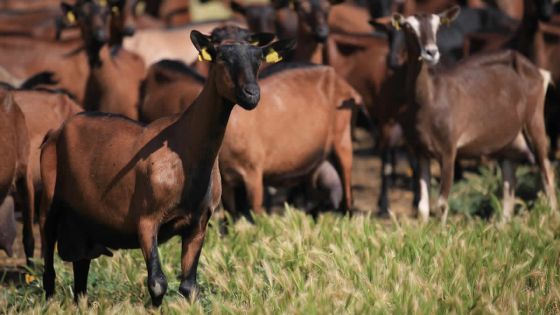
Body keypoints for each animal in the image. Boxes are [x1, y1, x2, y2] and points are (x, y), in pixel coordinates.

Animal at [40, 29, 296, 306]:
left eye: (258, 60)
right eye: (222, 59)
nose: (251, 94)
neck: (186, 150)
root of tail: (55, 132)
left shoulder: (199, 223)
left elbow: (189, 286)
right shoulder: (146, 219)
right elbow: (157, 283)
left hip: (83, 221)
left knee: (81, 266)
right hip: (50, 203)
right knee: (48, 266)